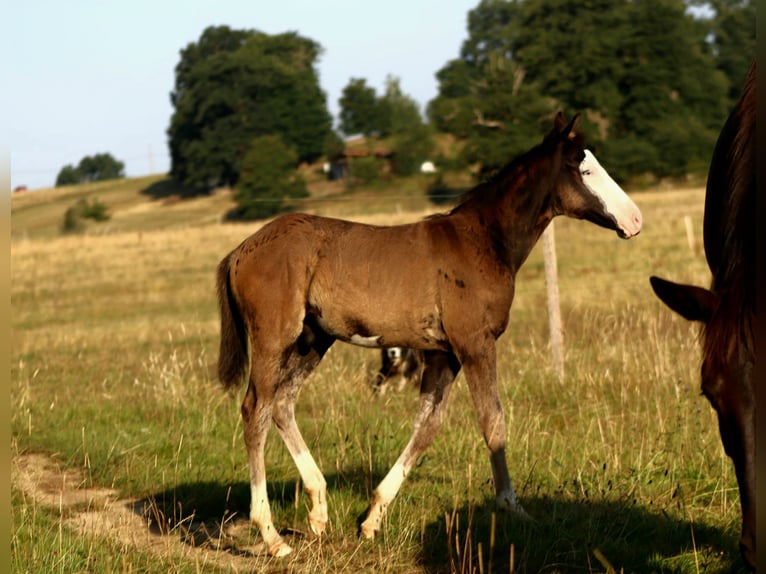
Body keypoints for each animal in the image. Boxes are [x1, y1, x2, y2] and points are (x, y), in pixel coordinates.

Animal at [216, 111, 643, 557]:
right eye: (585, 169)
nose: (635, 220)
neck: (483, 239)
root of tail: (242, 250)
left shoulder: (444, 353)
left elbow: (428, 426)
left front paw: (373, 518)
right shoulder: (475, 345)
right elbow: (493, 422)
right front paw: (512, 507)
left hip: (312, 340)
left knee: (281, 403)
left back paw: (318, 509)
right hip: (273, 338)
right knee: (255, 408)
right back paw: (271, 535)